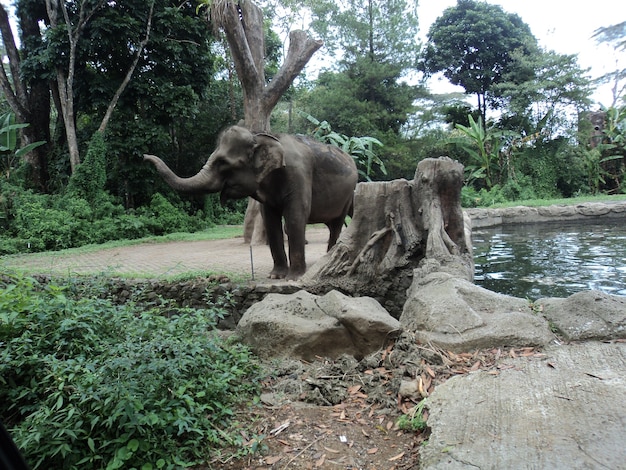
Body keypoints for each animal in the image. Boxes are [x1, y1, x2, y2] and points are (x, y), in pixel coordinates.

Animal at [143, 125, 356, 280]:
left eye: (223, 163)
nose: (144, 156)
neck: (262, 136)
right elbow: (270, 222)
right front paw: (276, 276)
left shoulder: (299, 174)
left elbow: (295, 218)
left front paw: (293, 278)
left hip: (349, 194)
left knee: (336, 225)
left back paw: (326, 261)